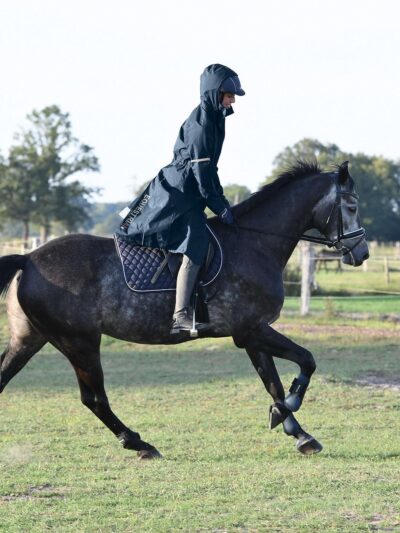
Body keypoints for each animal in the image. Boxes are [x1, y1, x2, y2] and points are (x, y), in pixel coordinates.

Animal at [0, 161, 368, 458]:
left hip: (30, 339)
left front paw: (296, 430)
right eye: (351, 206)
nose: (361, 253)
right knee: (95, 399)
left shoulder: (251, 333)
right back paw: (139, 443)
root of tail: (28, 259)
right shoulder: (252, 330)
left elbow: (273, 383)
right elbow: (306, 360)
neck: (255, 242)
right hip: (81, 342)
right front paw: (289, 410)